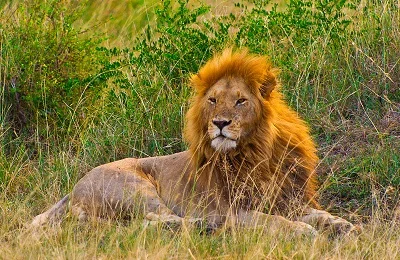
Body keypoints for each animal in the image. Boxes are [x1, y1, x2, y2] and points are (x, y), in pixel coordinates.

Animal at [30, 47, 356, 236]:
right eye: (213, 100)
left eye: (240, 101)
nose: (220, 124)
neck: (258, 152)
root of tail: (74, 187)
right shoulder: (235, 209)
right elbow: (273, 221)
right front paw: (304, 231)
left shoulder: (287, 198)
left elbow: (318, 214)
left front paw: (341, 224)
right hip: (134, 188)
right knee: (160, 219)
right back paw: (208, 226)